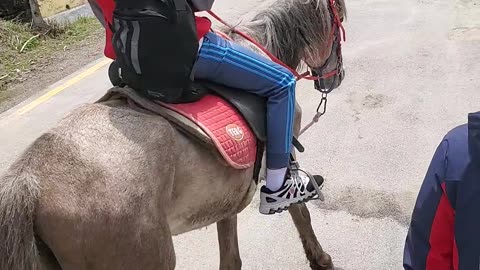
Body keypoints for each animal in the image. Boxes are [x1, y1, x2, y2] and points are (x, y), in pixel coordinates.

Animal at [0, 0, 346, 268]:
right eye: (340, 18)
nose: (335, 77)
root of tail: (28, 179)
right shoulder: (285, 149)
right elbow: (300, 213)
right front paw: (321, 259)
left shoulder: (228, 191)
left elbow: (230, 257)